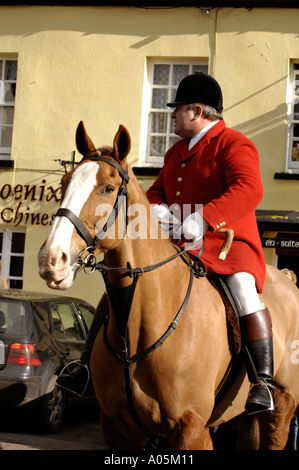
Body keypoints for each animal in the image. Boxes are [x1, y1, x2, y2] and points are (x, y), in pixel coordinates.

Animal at [38, 121, 299, 448]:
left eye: (108, 188)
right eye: (65, 183)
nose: (51, 259)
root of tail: (287, 278)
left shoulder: (192, 428)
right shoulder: (116, 427)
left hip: (282, 408)